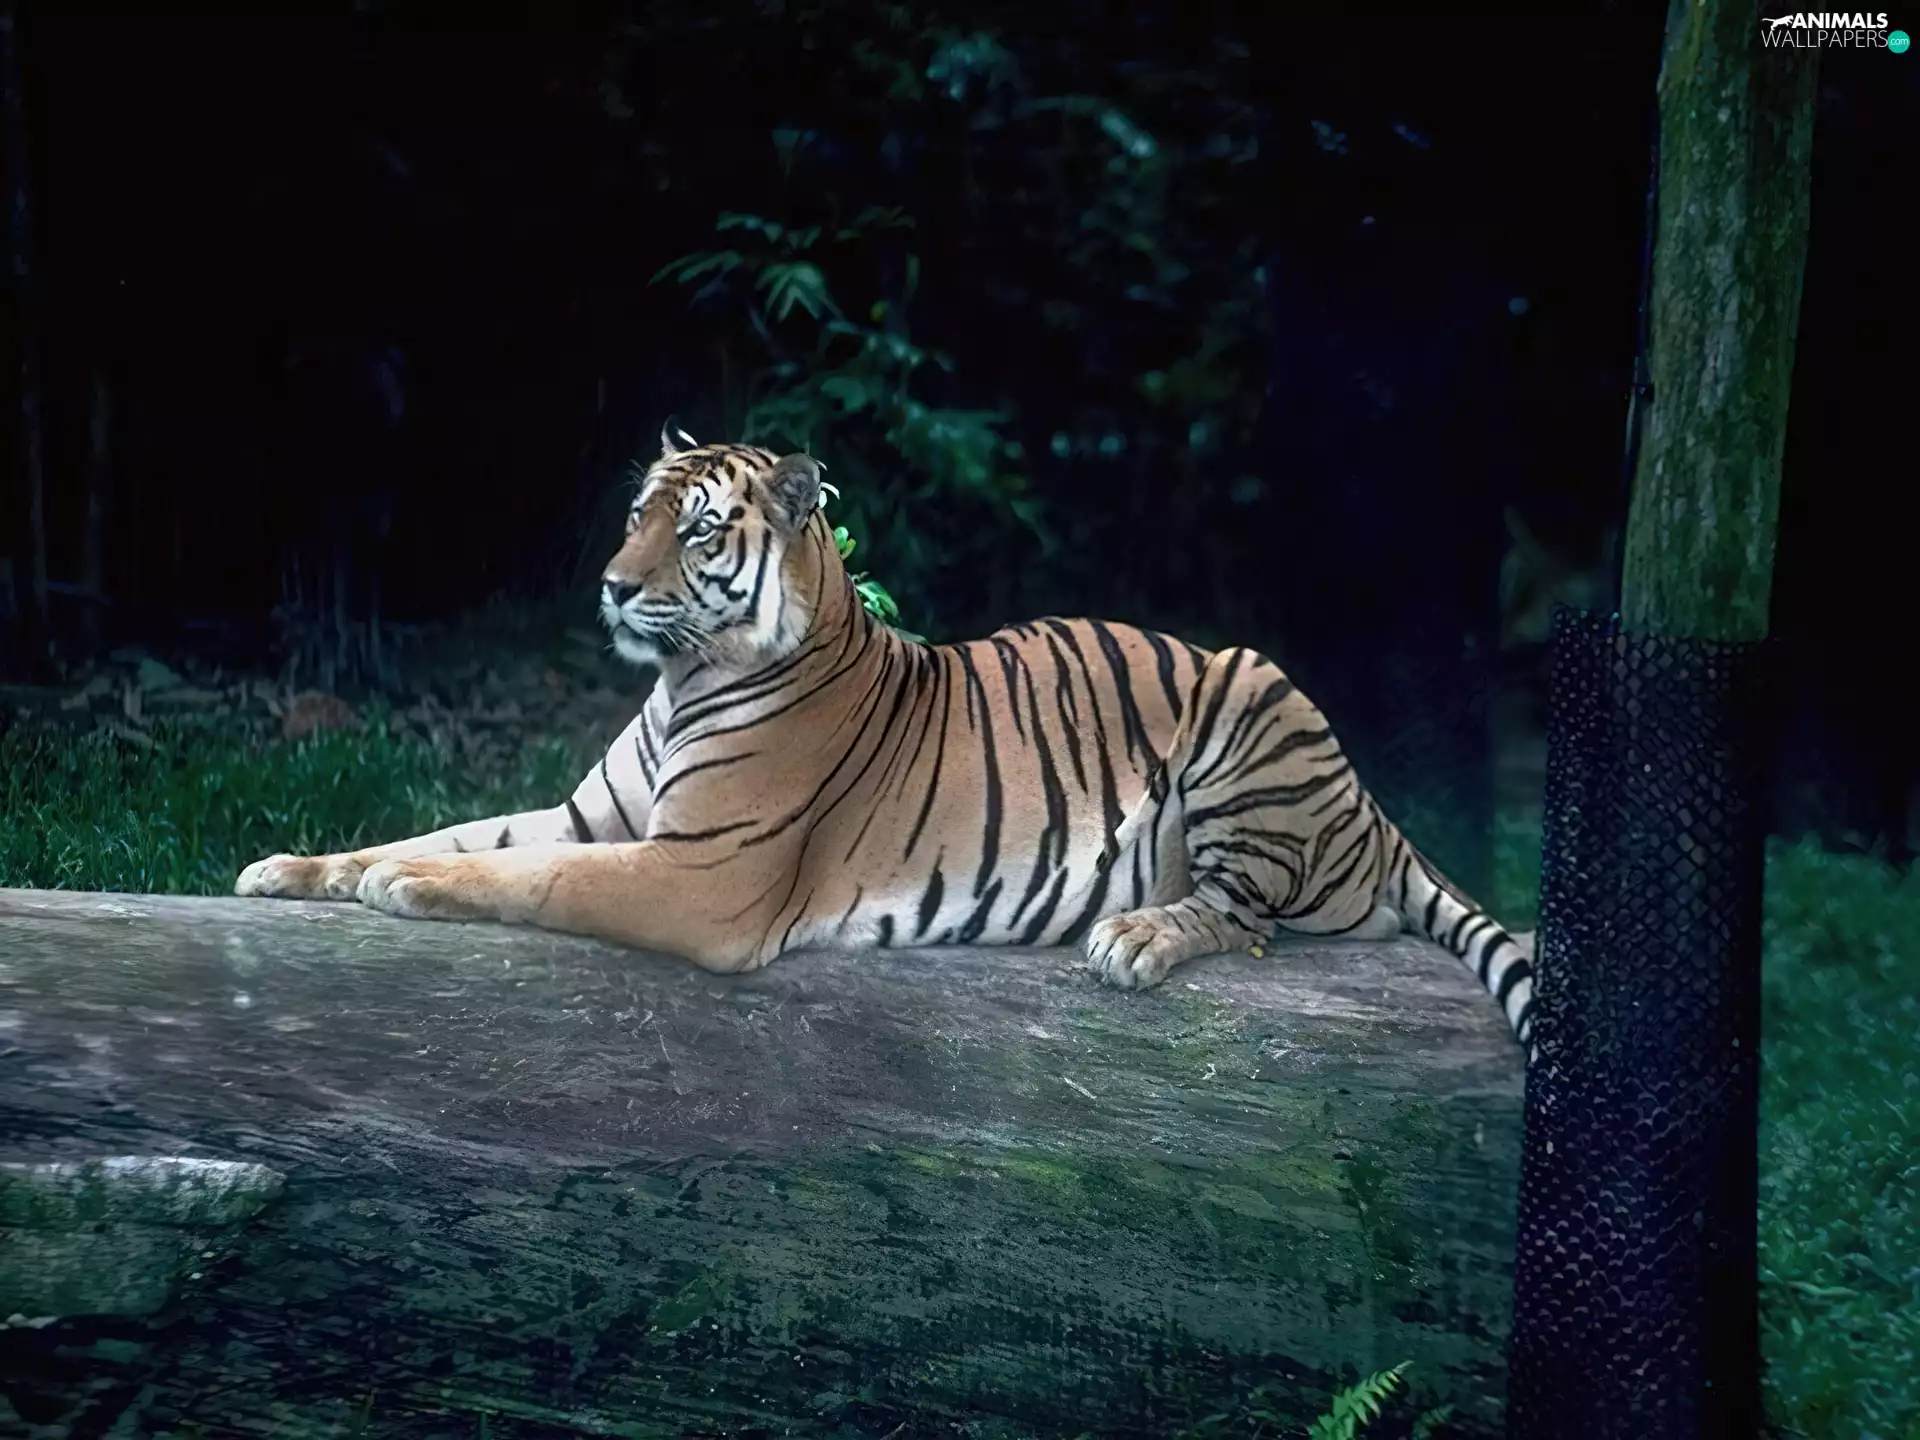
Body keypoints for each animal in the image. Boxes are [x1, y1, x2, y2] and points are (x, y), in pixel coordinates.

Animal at [236, 430, 1537, 1050]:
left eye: (696, 532)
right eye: (638, 512)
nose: (610, 587)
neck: (681, 680)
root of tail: (1373, 813)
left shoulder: (696, 872)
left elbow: (530, 875)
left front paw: (405, 887)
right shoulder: (593, 814)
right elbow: (451, 830)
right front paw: (291, 868)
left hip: (1252, 688)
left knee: (1251, 918)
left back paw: (1137, 936)